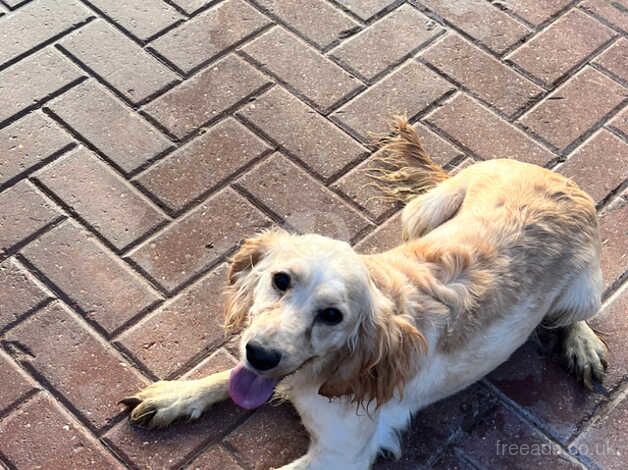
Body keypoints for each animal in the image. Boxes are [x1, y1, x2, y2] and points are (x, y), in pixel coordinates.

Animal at [122, 118, 608, 470]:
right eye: (280, 280)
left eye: (332, 315)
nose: (261, 354)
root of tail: (559, 178)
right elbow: (226, 376)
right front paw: (175, 395)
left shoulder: (341, 456)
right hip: (423, 213)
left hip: (583, 288)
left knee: (573, 315)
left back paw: (582, 343)